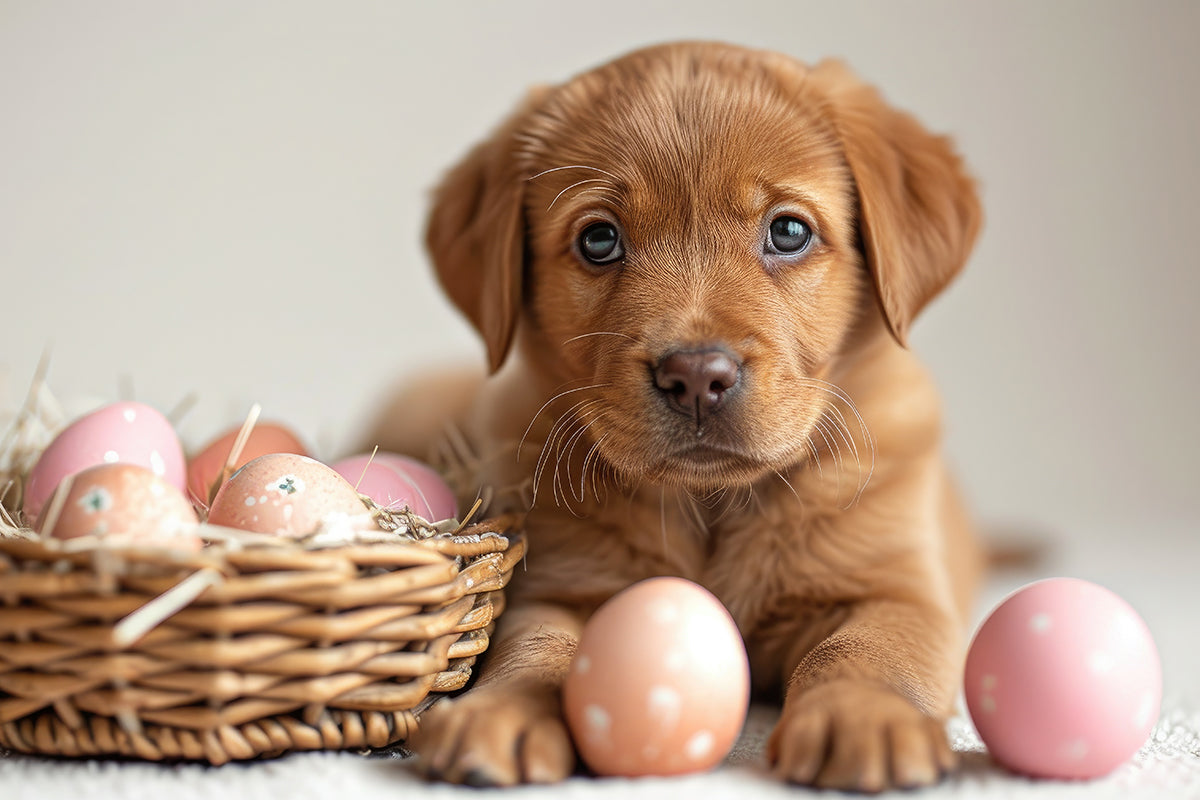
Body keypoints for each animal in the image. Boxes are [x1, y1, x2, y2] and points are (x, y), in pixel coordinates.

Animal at [381, 40, 984, 791]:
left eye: (788, 231)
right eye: (599, 240)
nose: (697, 377)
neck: (712, 507)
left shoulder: (898, 590)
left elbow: (865, 649)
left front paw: (862, 714)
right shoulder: (562, 584)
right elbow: (535, 647)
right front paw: (500, 711)